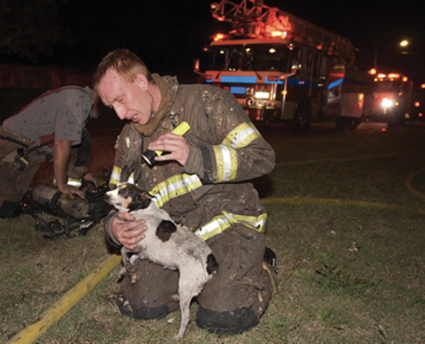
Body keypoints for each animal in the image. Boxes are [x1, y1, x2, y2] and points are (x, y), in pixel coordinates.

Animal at [104, 184, 217, 340]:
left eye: (124, 191)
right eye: (116, 187)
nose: (105, 194)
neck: (142, 210)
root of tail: (210, 264)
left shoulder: (139, 245)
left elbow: (123, 250)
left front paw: (126, 265)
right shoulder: (143, 252)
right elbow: (132, 257)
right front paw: (125, 270)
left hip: (185, 286)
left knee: (186, 317)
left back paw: (179, 336)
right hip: (187, 288)